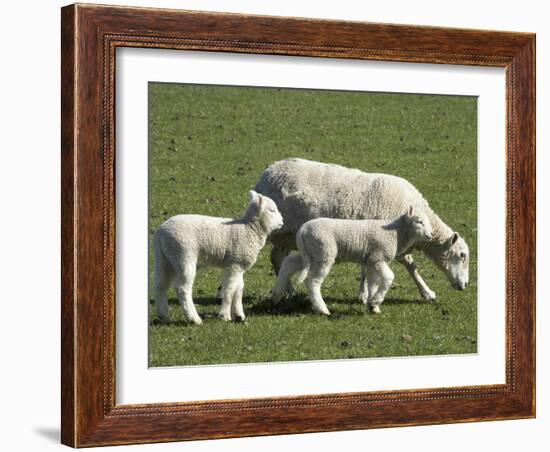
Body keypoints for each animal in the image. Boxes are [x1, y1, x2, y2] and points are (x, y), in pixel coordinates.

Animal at [154, 191, 284, 324]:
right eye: (272, 210)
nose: (282, 221)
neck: (249, 228)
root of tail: (160, 232)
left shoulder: (238, 264)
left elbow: (239, 290)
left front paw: (239, 315)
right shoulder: (234, 264)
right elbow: (229, 290)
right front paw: (225, 315)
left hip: (164, 258)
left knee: (160, 286)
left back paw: (163, 315)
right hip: (183, 255)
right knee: (182, 288)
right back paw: (194, 318)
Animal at [256, 157, 472, 302]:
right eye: (462, 255)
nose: (466, 285)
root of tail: (267, 173)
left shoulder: (370, 240)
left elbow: (367, 267)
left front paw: (363, 293)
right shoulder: (387, 238)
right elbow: (411, 266)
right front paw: (428, 293)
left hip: (288, 235)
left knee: (277, 257)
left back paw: (289, 290)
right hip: (277, 229)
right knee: (274, 255)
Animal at [272, 206, 436, 314]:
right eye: (419, 222)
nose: (430, 235)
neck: (396, 233)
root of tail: (303, 230)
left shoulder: (370, 260)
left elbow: (373, 283)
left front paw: (373, 306)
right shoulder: (378, 257)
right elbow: (389, 277)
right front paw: (376, 301)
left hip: (310, 253)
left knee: (288, 263)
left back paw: (277, 294)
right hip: (324, 252)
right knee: (312, 281)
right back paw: (322, 309)